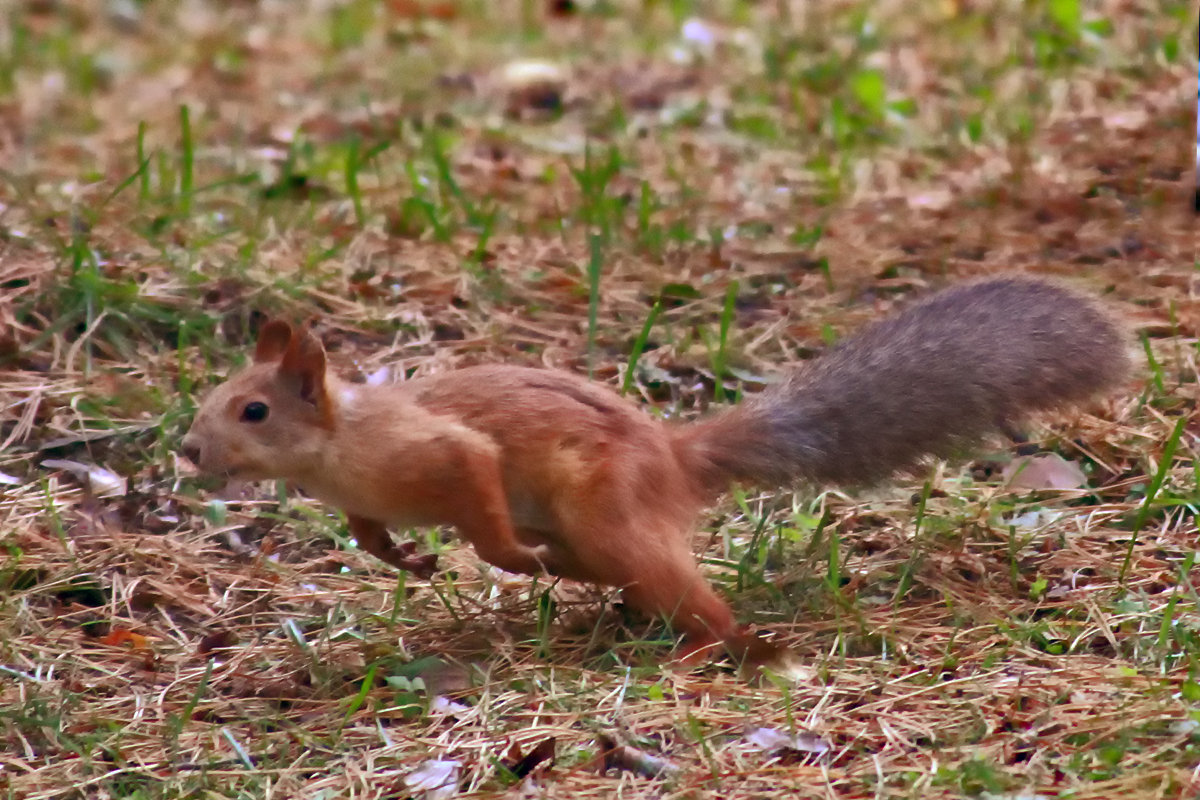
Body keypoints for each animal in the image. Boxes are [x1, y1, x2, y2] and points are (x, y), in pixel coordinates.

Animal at [177, 278, 1123, 662]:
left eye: (253, 411)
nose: (188, 451)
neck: (343, 449)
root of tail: (672, 458)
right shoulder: (364, 498)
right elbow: (370, 534)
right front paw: (404, 558)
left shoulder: (443, 451)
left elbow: (483, 509)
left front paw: (511, 557)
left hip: (610, 515)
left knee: (705, 610)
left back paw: (702, 649)